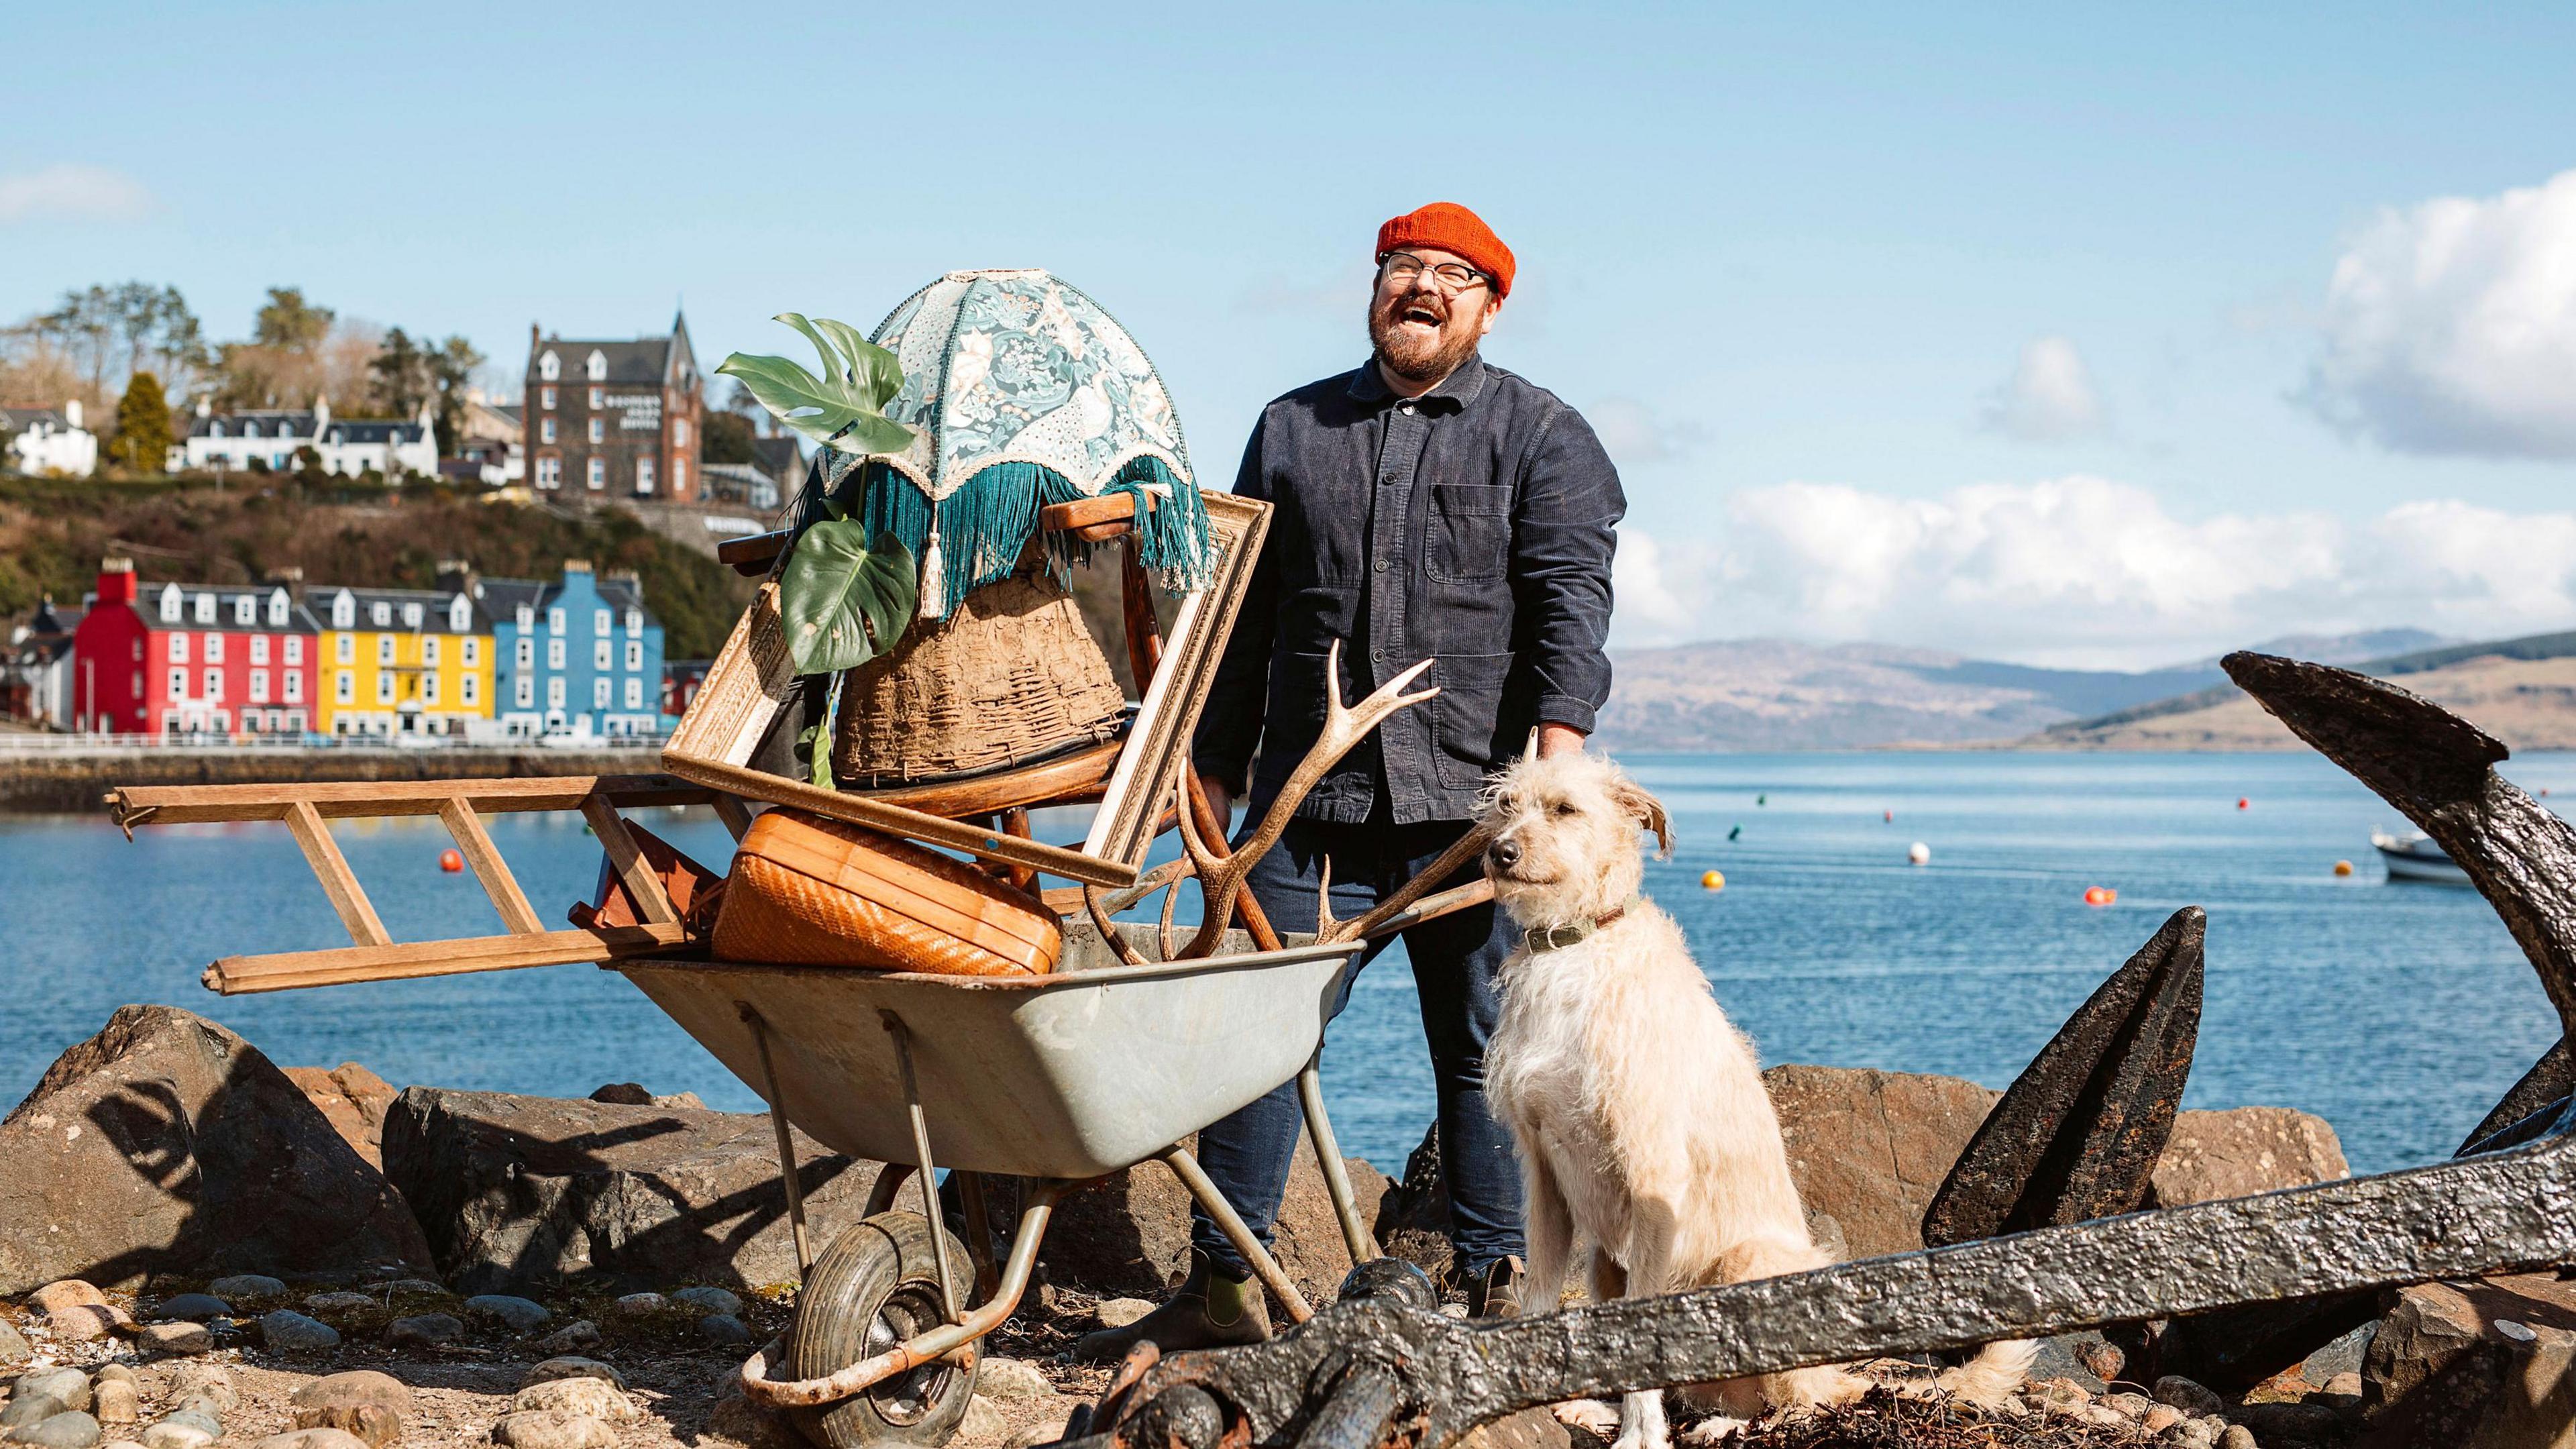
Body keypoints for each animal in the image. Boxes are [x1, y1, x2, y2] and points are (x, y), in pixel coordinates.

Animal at [1473, 747, 2029, 1433]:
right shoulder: (1544, 1170)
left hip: (1750, 1266)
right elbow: (1542, 1295)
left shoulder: (1654, 1172)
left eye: (1565, 809)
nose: (1500, 852)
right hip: (1606, 1261)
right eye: (1506, 804)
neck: (1576, 948)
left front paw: (1640, 1438)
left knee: (1799, 1399)